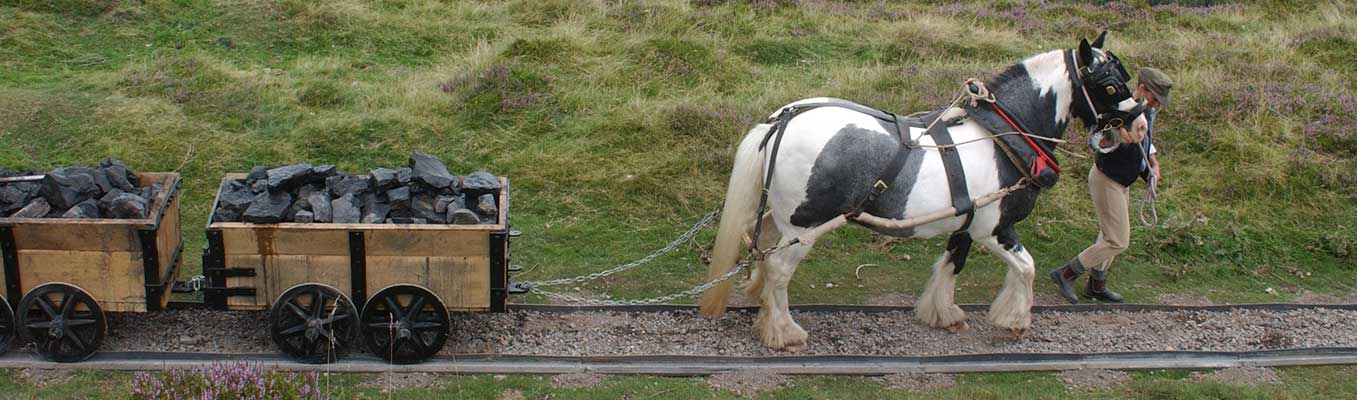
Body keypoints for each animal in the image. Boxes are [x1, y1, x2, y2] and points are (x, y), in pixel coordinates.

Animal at [694, 32, 1150, 352]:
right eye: (1109, 84)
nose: (1141, 124)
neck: (1003, 137)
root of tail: (782, 118)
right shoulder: (994, 228)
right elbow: (1026, 268)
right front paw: (1015, 320)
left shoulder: (966, 225)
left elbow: (952, 265)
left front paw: (943, 314)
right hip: (804, 226)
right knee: (779, 269)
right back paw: (783, 330)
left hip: (785, 217)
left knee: (762, 245)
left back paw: (760, 302)